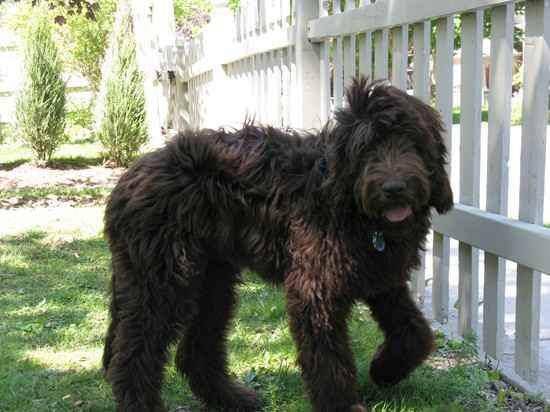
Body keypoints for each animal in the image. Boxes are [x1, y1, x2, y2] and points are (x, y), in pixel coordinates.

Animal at [102, 78, 452, 412]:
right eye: (365, 147)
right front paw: (342, 404)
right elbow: (329, 358)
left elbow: (416, 333)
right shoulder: (314, 290)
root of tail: (128, 180)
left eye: (412, 142)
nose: (394, 188)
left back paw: (233, 399)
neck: (353, 209)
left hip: (212, 282)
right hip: (162, 281)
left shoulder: (383, 280)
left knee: (195, 352)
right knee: (133, 354)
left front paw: (384, 370)